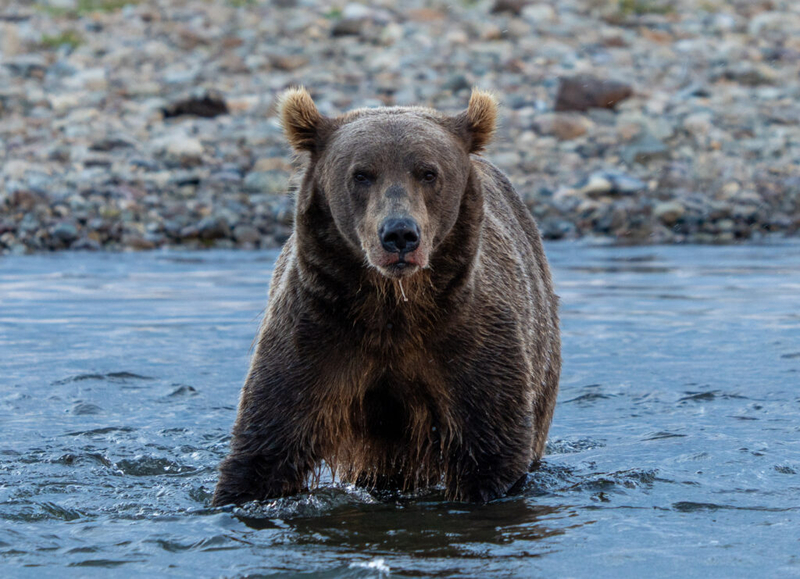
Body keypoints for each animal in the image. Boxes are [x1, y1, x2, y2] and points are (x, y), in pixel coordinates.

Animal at [212, 87, 560, 506]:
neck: (392, 306)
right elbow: (267, 445)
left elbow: (491, 448)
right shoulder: (318, 332)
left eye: (428, 172)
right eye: (361, 174)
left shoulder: (469, 339)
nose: (399, 234)